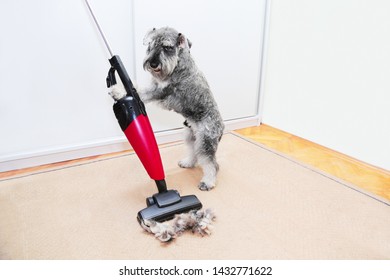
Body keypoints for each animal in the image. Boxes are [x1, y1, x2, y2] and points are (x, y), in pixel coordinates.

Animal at [111, 27, 224, 191]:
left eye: (167, 47)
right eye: (150, 45)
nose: (153, 63)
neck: (178, 64)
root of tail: (222, 128)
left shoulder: (161, 91)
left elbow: (140, 93)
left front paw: (118, 91)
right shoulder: (156, 85)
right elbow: (137, 89)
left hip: (205, 142)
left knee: (211, 164)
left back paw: (208, 182)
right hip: (191, 137)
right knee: (194, 153)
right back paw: (187, 163)